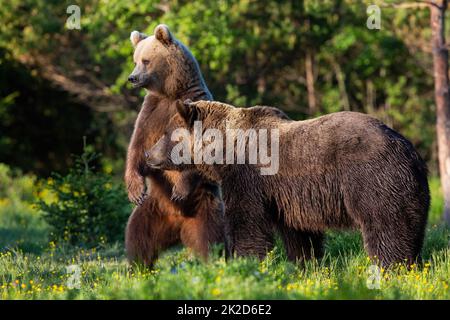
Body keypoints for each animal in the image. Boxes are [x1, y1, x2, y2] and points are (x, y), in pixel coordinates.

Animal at [124, 24, 225, 264]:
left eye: (146, 60)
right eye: (135, 59)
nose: (132, 78)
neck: (171, 93)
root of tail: (178, 226)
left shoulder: (193, 107)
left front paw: (180, 187)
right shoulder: (151, 114)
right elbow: (137, 148)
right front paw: (135, 190)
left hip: (204, 207)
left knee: (211, 239)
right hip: (152, 211)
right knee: (137, 239)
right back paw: (138, 267)